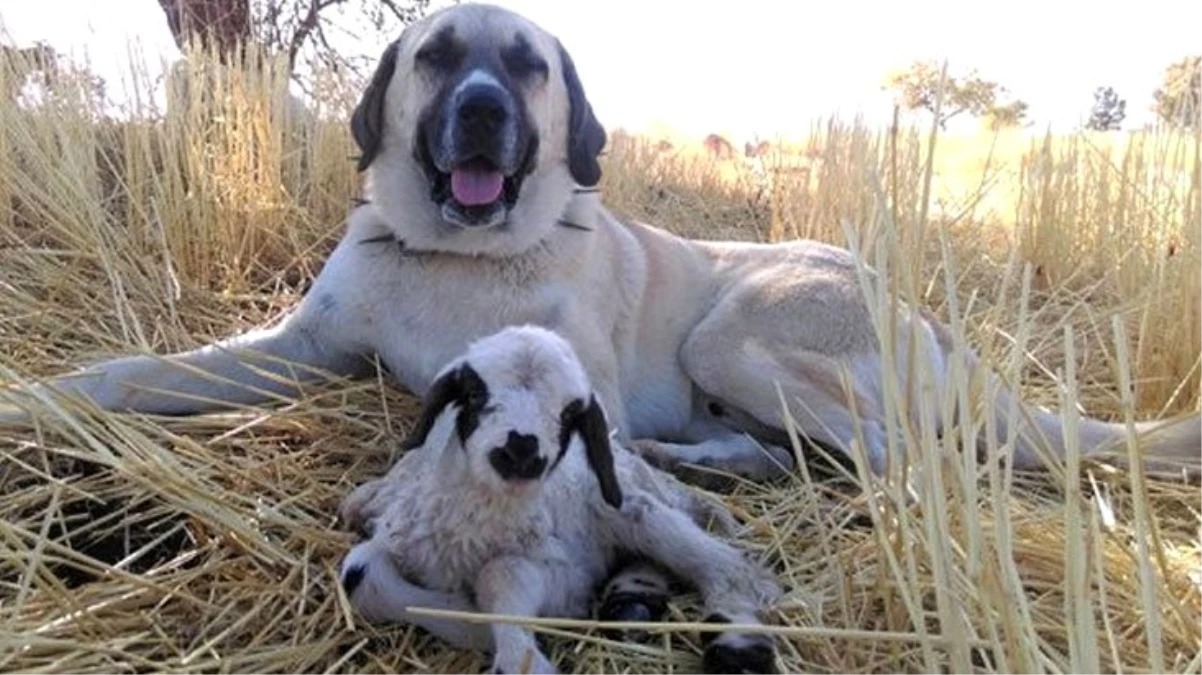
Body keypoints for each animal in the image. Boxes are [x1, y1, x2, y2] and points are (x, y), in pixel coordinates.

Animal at [341, 324, 788, 672]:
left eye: (570, 413)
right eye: (475, 394)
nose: (521, 451)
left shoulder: (567, 578)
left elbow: (501, 575)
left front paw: (495, 637)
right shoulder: (398, 538)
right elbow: (359, 573)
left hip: (632, 508)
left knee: (730, 568)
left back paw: (736, 641)